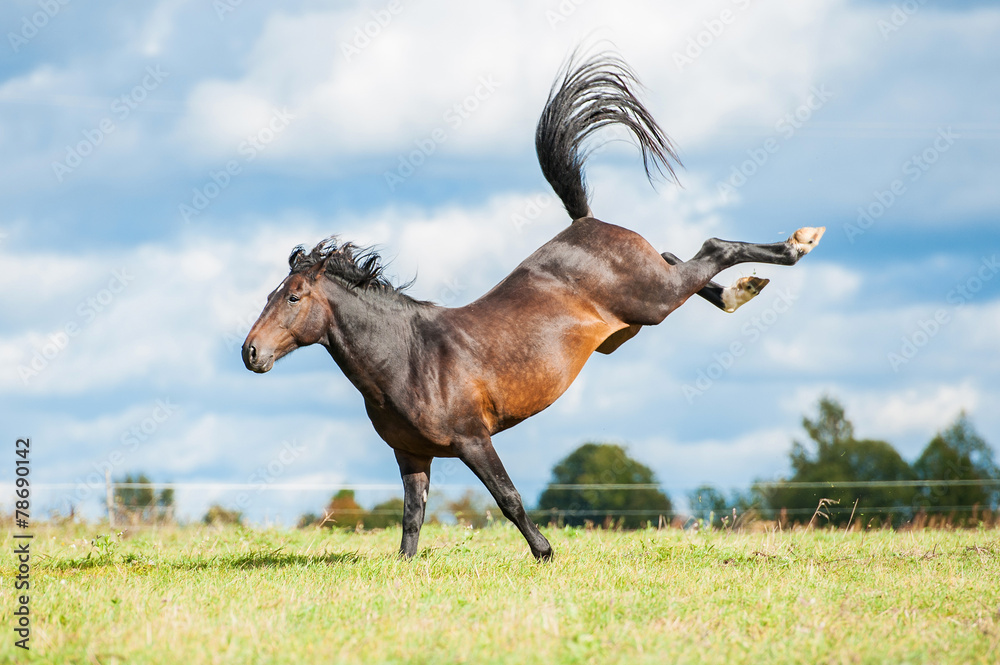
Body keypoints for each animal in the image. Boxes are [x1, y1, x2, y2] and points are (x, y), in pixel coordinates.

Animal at [240, 53, 820, 560]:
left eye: (292, 296)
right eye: (270, 295)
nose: (250, 353)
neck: (407, 357)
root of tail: (585, 222)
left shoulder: (473, 439)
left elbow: (508, 498)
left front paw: (544, 552)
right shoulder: (412, 455)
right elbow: (412, 518)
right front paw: (405, 566)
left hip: (653, 299)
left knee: (713, 248)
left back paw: (795, 246)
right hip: (651, 298)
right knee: (685, 257)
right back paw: (745, 288)